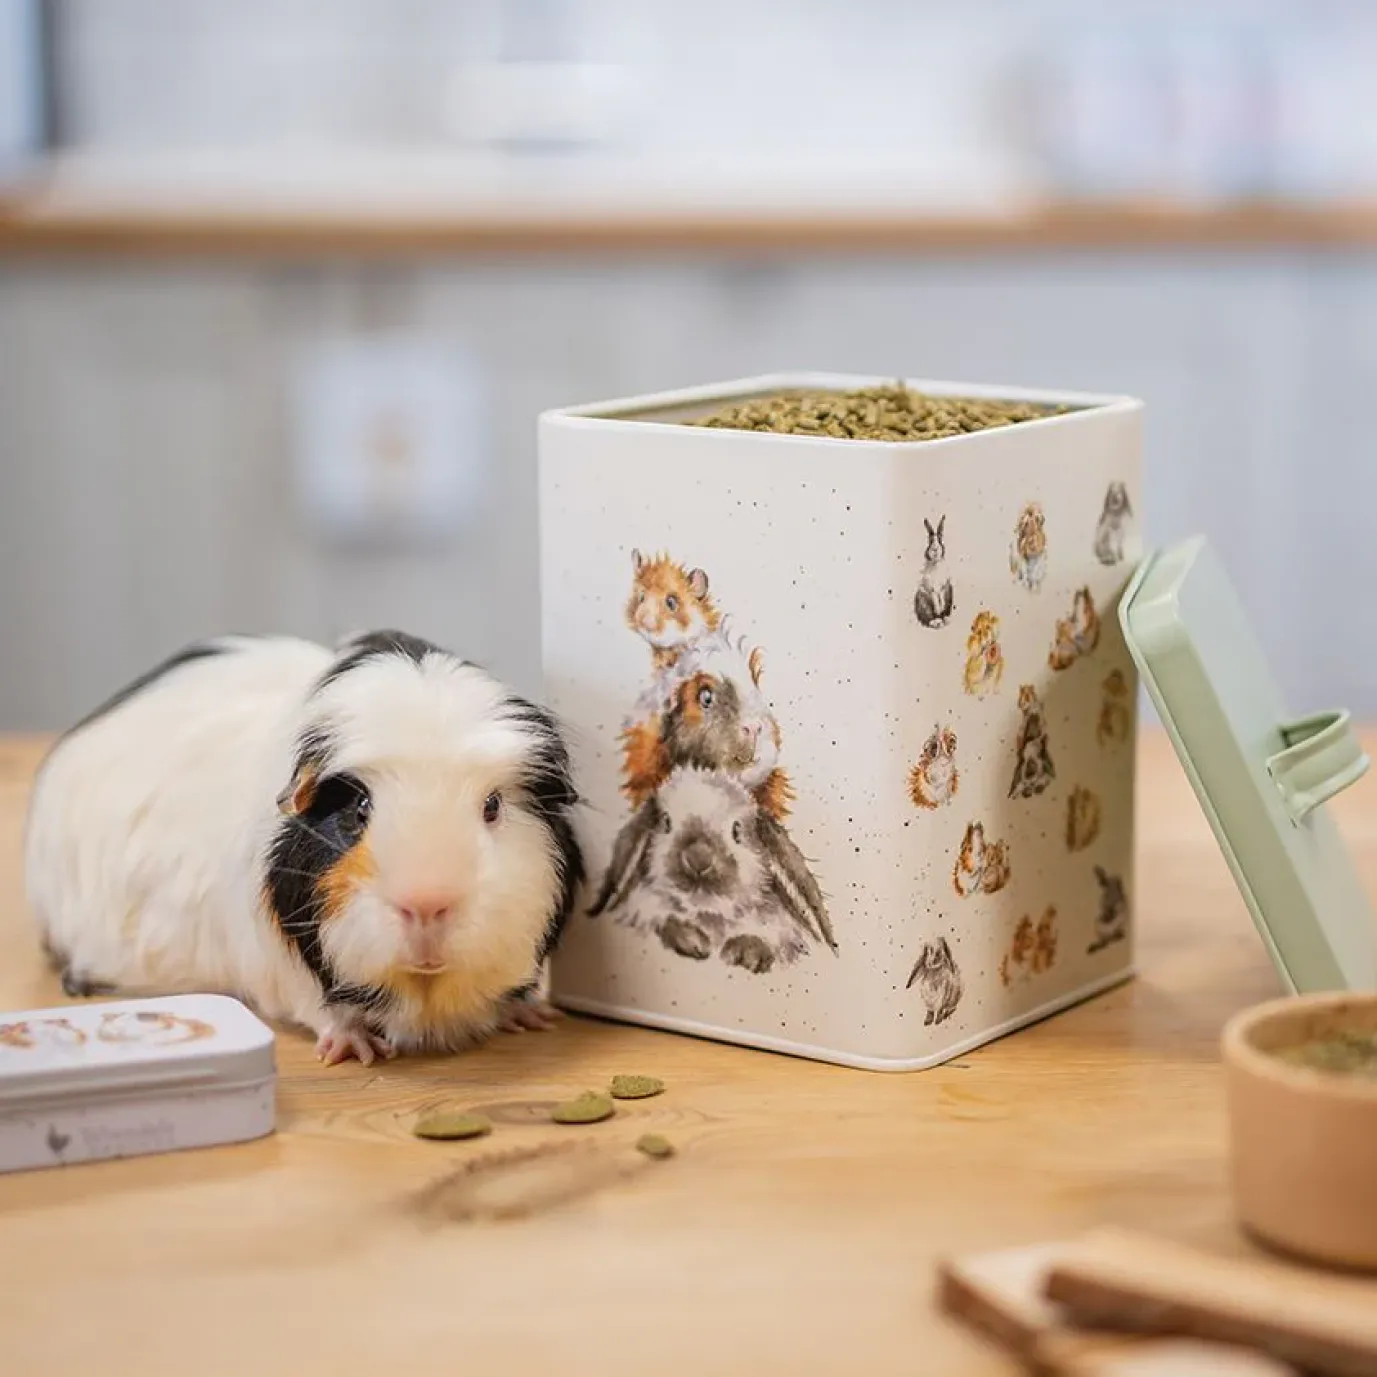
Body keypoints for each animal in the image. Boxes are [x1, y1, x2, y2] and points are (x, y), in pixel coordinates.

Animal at [23, 628, 585, 1066]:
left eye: (492, 805)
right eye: (359, 808)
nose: (427, 905)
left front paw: (534, 1014)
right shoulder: (279, 970)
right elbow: (321, 1008)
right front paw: (356, 1050)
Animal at [586, 765, 834, 972]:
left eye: (737, 830)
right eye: (666, 822)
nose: (698, 858)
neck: (708, 914)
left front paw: (745, 953)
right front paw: (690, 940)